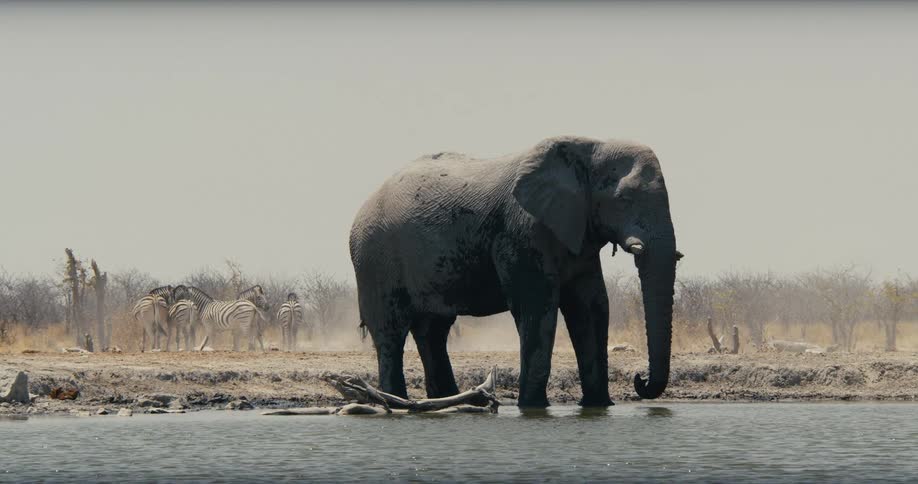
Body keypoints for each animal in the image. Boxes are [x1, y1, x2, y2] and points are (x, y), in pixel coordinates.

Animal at [349, 136, 680, 407]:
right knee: (391, 331)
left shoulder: (578, 233)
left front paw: (599, 406)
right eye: (623, 200)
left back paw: (449, 401)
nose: (640, 380)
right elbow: (537, 306)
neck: (590, 146)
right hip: (375, 259)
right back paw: (395, 401)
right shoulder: (522, 231)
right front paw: (533, 407)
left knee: (433, 331)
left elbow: (591, 306)